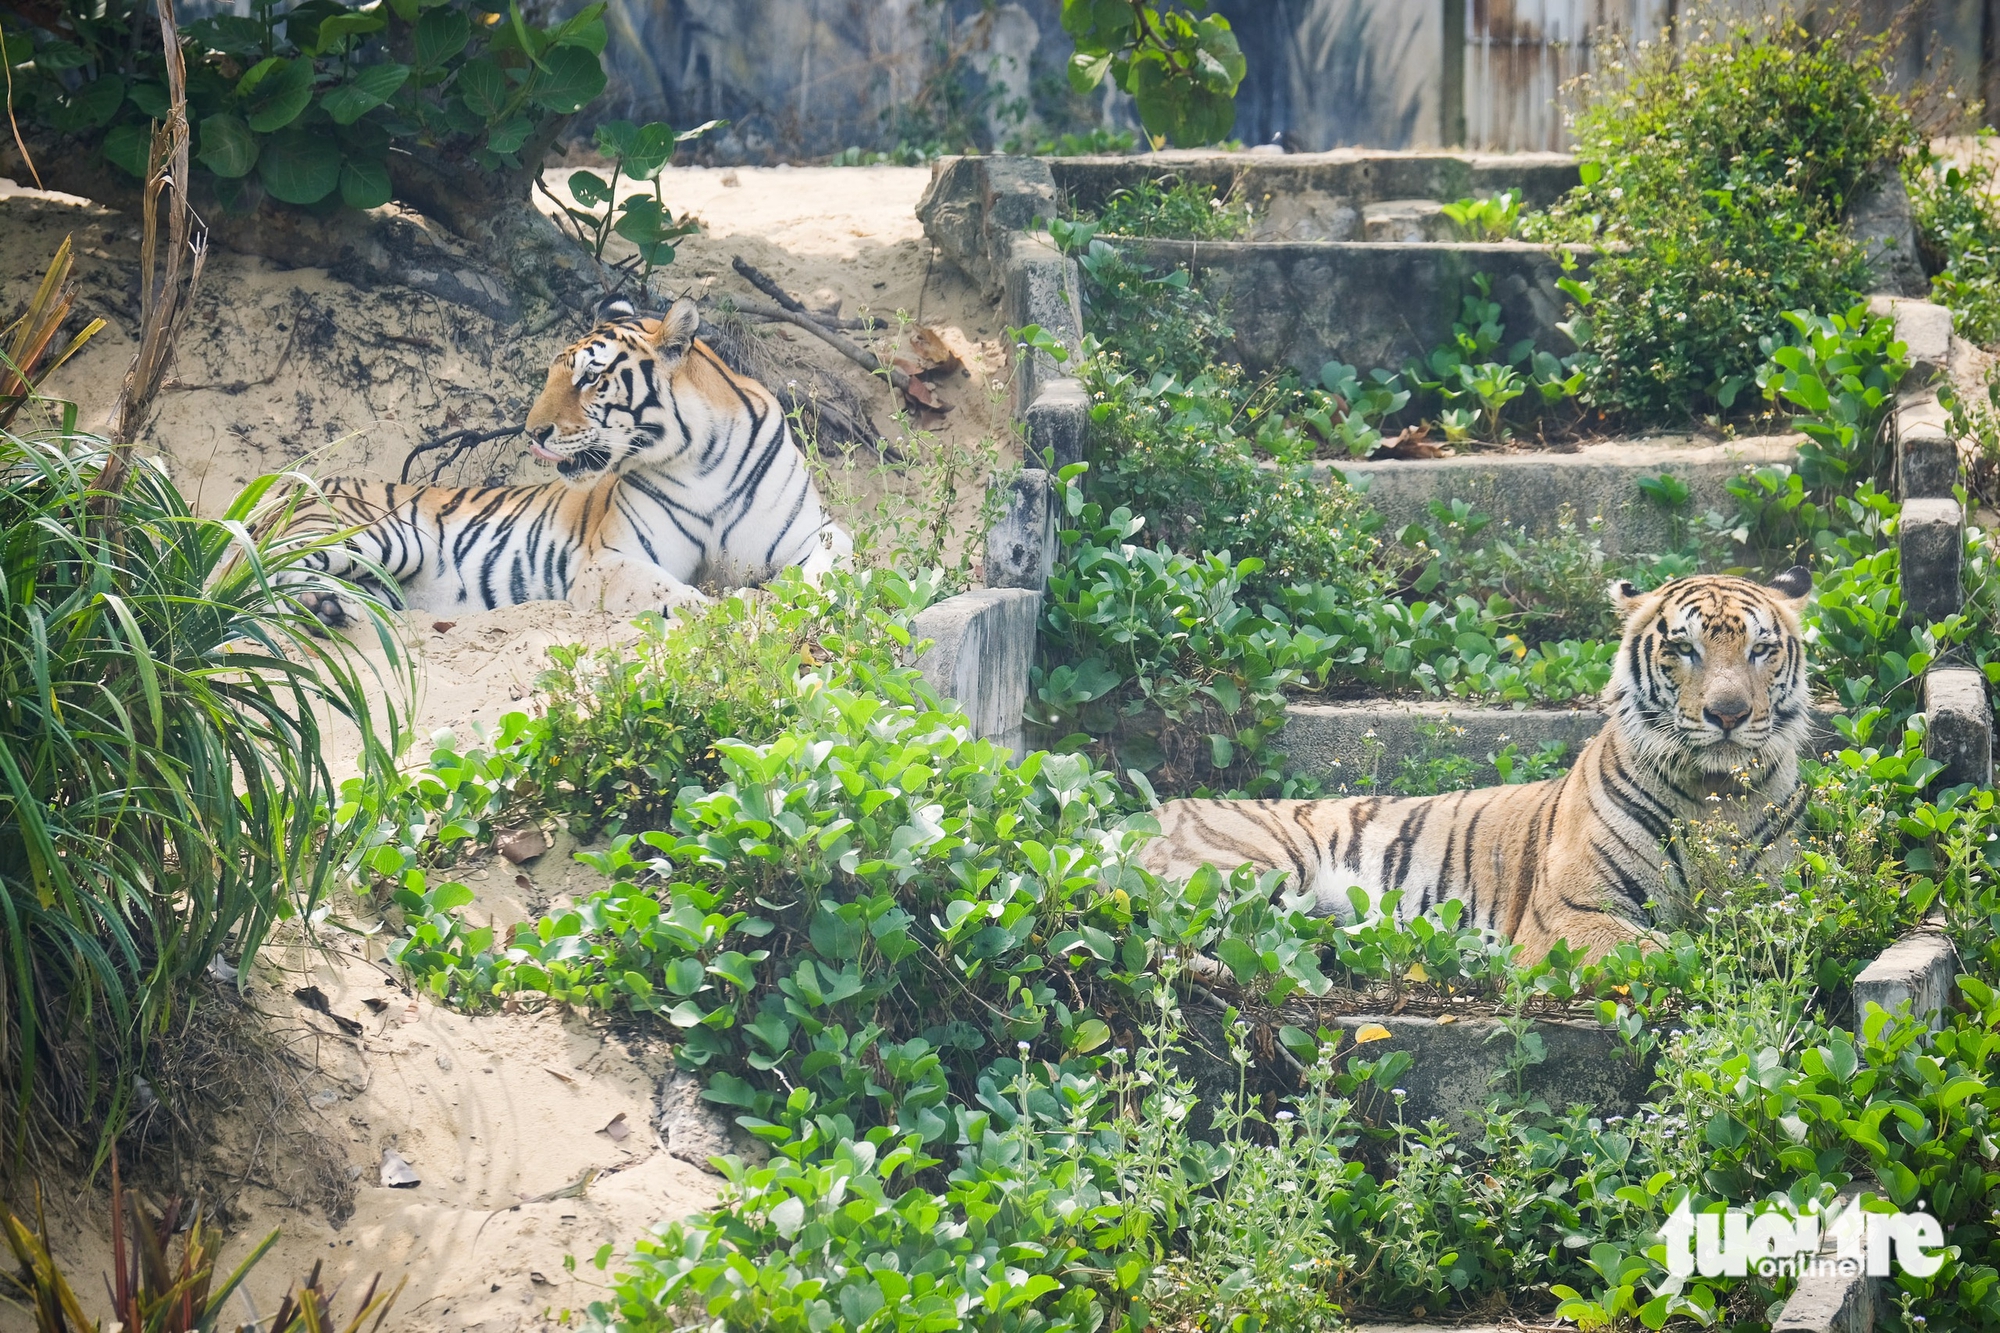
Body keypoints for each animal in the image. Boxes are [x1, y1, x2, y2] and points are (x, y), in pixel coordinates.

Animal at [285, 296, 851, 627]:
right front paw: (728, 607)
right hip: (377, 536)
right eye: (553, 375)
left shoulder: (813, 531)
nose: (532, 432)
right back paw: (319, 608)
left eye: (590, 378)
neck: (701, 460)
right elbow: (674, 593)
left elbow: (829, 567)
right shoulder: (610, 558)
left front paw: (784, 598)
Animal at [1139, 569, 1816, 963]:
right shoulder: (1569, 916)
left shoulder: (1783, 900)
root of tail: (1146, 809)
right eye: (1683, 648)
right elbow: (1671, 953)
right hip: (1247, 870)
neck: (1713, 797)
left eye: (1761, 649)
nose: (1727, 714)